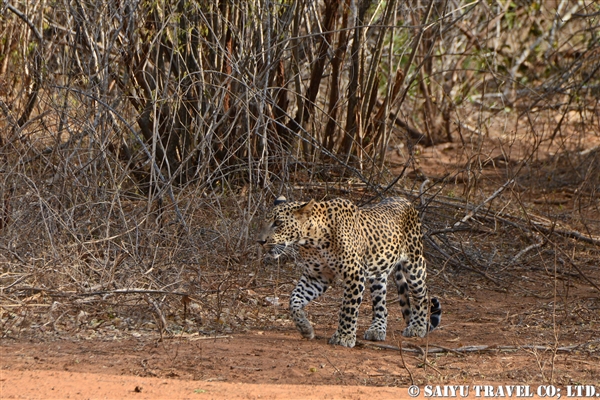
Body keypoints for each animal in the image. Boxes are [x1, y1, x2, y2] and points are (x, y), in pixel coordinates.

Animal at [258, 196, 440, 346]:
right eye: (265, 222)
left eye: (278, 223)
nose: (260, 241)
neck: (312, 240)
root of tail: (405, 200)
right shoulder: (317, 276)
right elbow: (294, 299)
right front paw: (305, 328)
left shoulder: (354, 274)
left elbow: (348, 308)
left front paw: (343, 337)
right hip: (378, 274)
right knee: (381, 305)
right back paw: (377, 329)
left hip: (415, 264)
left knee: (422, 295)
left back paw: (417, 326)